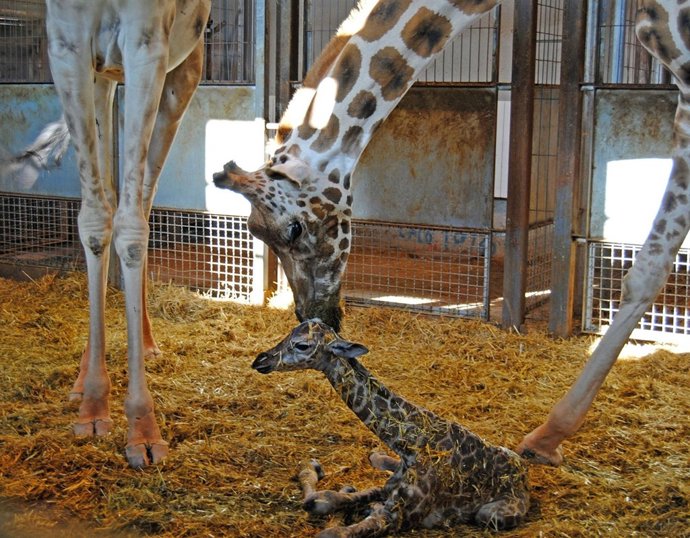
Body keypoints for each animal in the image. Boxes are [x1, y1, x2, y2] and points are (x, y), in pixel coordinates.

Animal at [43, 0, 211, 468]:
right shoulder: (66, 44)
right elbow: (94, 220)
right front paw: (93, 406)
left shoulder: (147, 42)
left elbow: (133, 227)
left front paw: (142, 430)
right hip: (102, 78)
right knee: (108, 197)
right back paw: (84, 374)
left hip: (183, 71)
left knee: (143, 201)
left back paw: (148, 343)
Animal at [213, 0, 690, 467]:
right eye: (255, 233)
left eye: (294, 229)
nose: (317, 315)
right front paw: (549, 436)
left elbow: (646, 270)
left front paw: (548, 435)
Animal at [254, 319, 530, 537]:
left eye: (302, 345)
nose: (260, 360)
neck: (409, 446)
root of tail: (523, 471)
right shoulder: (388, 490)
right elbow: (322, 500)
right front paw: (318, 472)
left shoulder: (398, 517)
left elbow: (331, 532)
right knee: (375, 457)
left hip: (491, 514)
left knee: (487, 516)